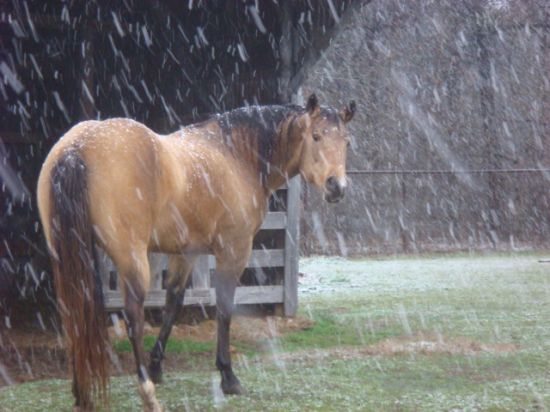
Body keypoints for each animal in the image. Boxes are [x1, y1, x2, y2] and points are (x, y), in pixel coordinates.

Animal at [37, 95, 358, 410]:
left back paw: (82, 392)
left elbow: (173, 304)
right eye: (316, 136)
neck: (235, 155)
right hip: (132, 260)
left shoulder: (185, 253)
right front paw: (228, 376)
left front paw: (158, 366)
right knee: (133, 319)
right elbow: (225, 308)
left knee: (74, 313)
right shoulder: (234, 251)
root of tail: (77, 148)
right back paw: (147, 393)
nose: (336, 186)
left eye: (346, 141)